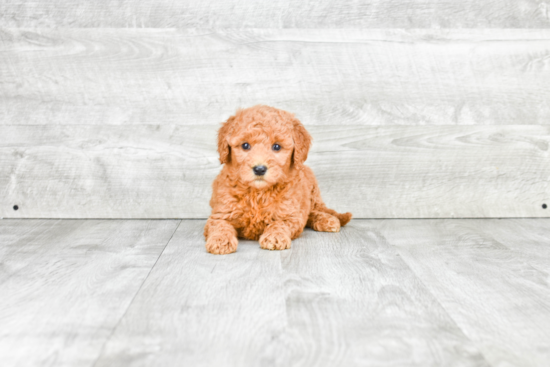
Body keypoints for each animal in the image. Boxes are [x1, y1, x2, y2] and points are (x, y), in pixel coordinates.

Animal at [204, 105, 354, 256]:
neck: (258, 193)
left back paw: (328, 220)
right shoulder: (221, 213)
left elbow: (279, 223)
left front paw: (274, 236)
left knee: (313, 211)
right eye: (245, 145)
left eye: (276, 147)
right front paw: (220, 240)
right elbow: (220, 225)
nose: (259, 169)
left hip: (313, 195)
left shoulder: (290, 215)